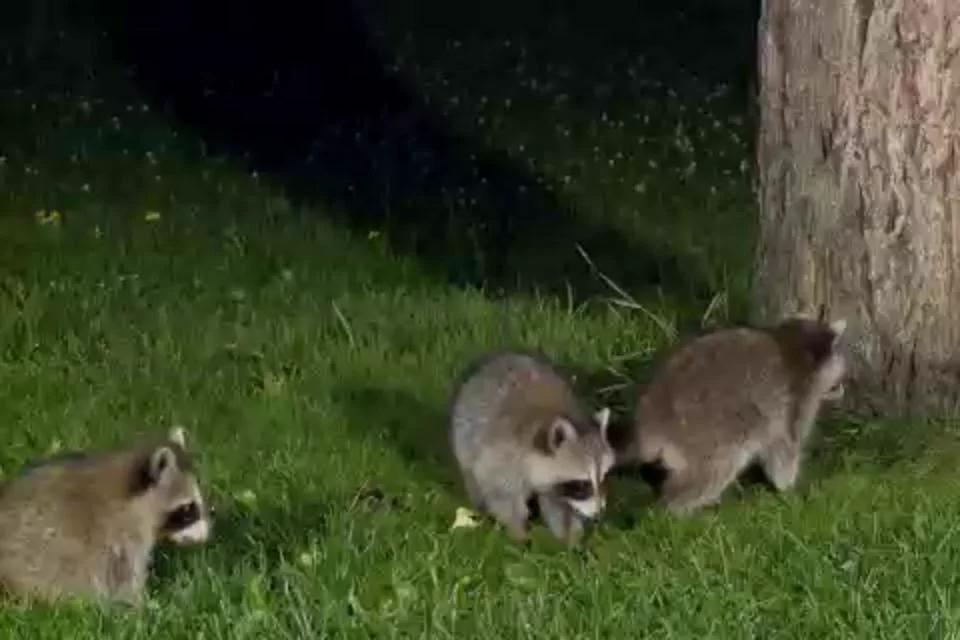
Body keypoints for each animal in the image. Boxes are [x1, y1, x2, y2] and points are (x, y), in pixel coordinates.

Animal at [448, 350, 616, 544]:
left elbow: (560, 505)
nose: (599, 514)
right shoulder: (503, 457)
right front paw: (518, 531)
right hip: (464, 439)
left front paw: (570, 535)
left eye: (604, 477)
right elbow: (503, 495)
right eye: (582, 484)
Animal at [632, 312, 848, 516]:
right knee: (708, 475)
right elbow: (784, 452)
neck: (793, 341)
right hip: (709, 435)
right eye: (838, 355)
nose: (846, 370)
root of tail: (649, 418)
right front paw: (788, 489)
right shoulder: (794, 403)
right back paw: (675, 509)